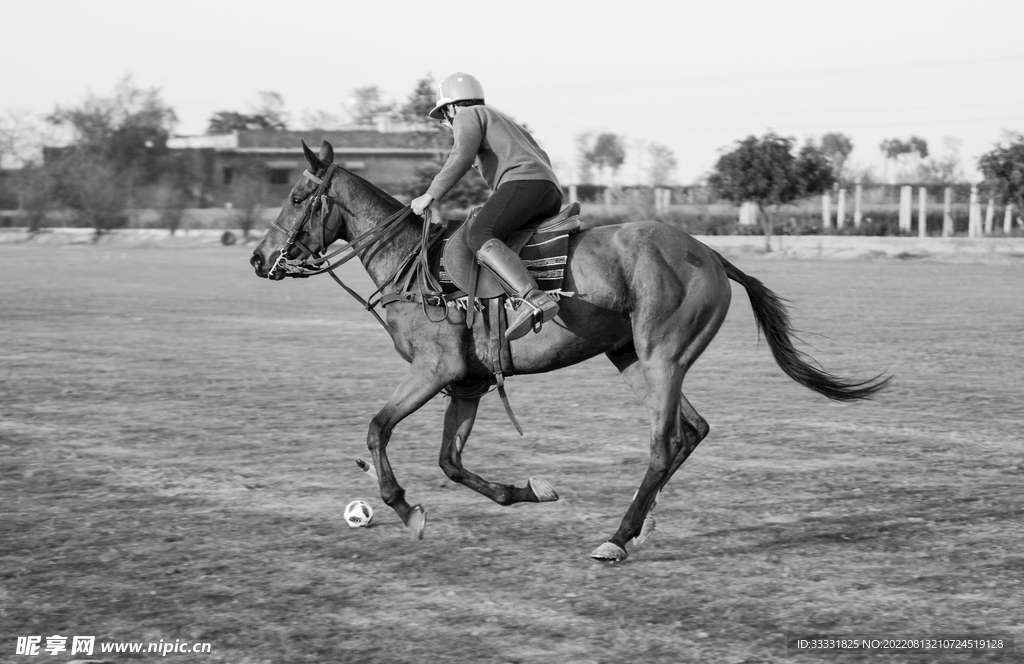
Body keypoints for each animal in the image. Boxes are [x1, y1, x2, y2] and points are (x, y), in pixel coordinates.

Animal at [250, 140, 890, 562]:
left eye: (299, 194)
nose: (258, 259)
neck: (413, 264)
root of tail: (711, 254)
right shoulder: (467, 383)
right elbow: (451, 461)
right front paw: (529, 490)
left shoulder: (434, 370)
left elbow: (377, 430)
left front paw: (406, 511)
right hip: (631, 358)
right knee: (693, 430)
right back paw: (643, 526)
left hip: (662, 355)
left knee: (664, 443)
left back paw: (618, 537)